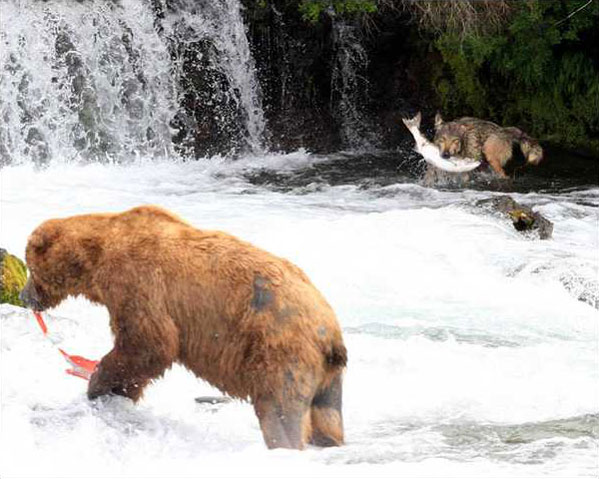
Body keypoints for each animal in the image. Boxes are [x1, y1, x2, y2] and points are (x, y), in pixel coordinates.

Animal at [19, 205, 346, 450]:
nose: (24, 296)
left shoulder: (137, 281)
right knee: (328, 416)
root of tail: (330, 330)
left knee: (279, 411)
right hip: (328, 376)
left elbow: (149, 343)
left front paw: (99, 384)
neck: (97, 257)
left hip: (279, 348)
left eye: (30, 267)